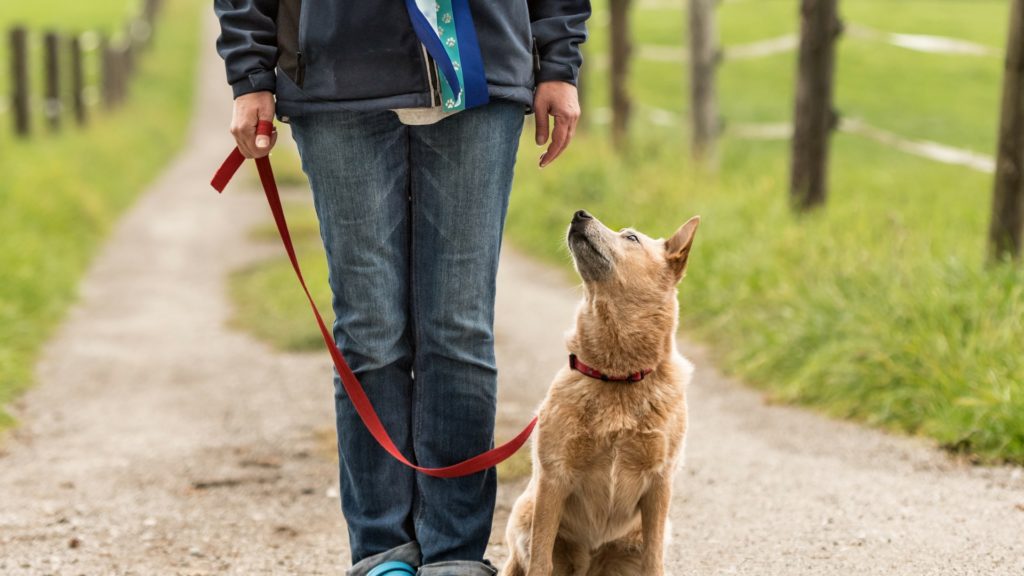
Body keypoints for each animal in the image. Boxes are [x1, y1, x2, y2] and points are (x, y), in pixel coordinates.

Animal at [501, 207, 700, 573]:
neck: (617, 376)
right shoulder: (553, 478)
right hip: (523, 518)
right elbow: (540, 561)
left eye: (631, 237)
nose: (579, 213)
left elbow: (654, 561)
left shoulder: (659, 484)